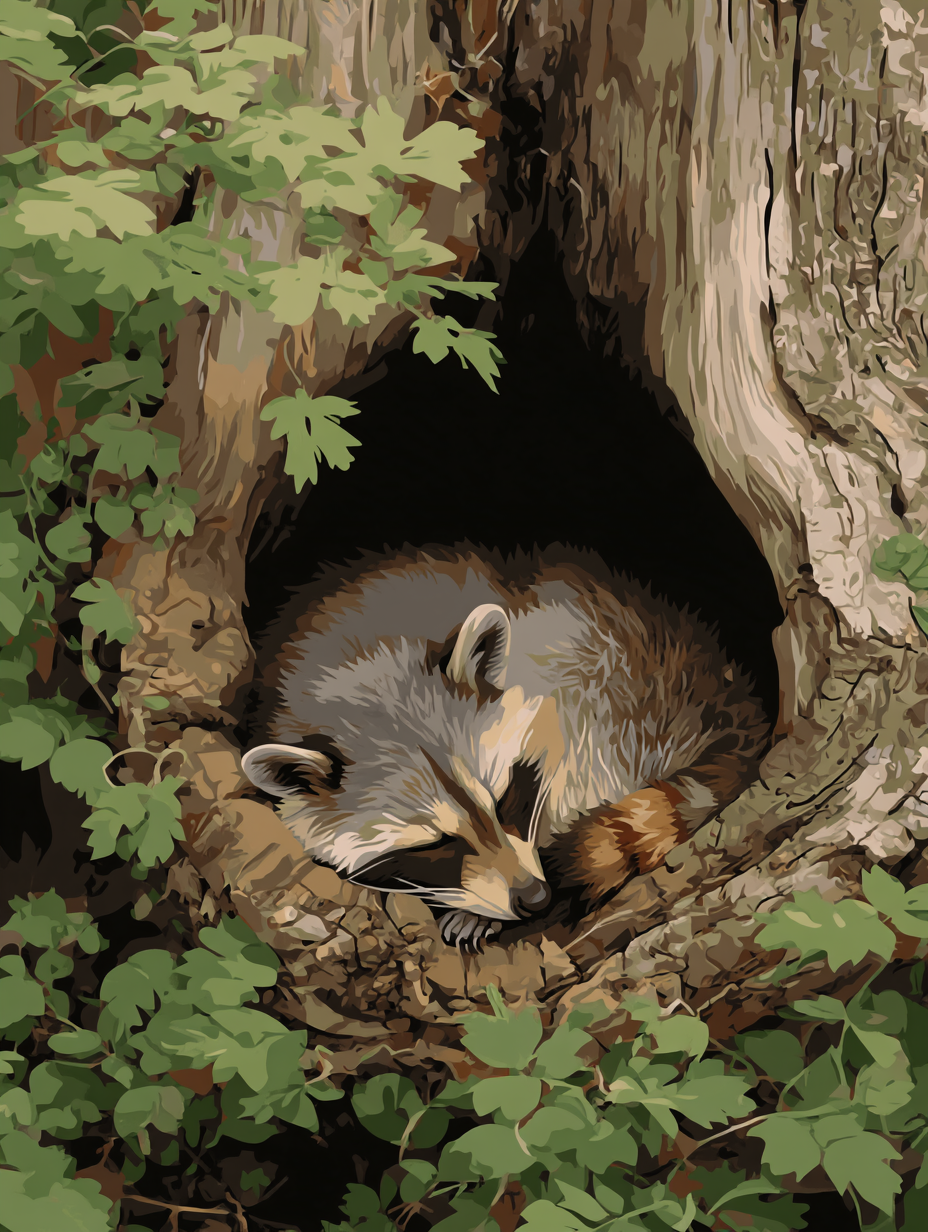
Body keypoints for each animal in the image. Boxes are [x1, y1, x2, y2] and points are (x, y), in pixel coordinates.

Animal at [242, 544, 768, 950]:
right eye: (438, 843)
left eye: (504, 797)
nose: (534, 898)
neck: (361, 665)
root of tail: (733, 706)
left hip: (617, 675)